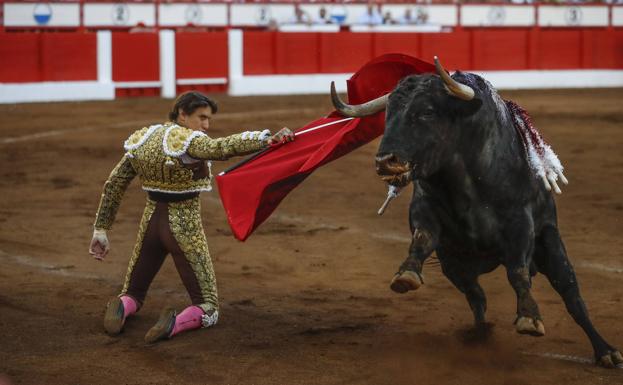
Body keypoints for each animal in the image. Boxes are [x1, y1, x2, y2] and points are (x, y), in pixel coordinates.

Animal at [330, 57, 620, 366]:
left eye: (427, 112)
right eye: (389, 113)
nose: (386, 161)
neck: (461, 176)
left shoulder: (520, 222)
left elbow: (518, 271)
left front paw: (529, 318)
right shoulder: (426, 210)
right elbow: (421, 241)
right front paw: (406, 275)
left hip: (551, 245)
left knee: (572, 296)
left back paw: (606, 351)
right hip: (454, 264)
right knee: (476, 296)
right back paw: (480, 336)